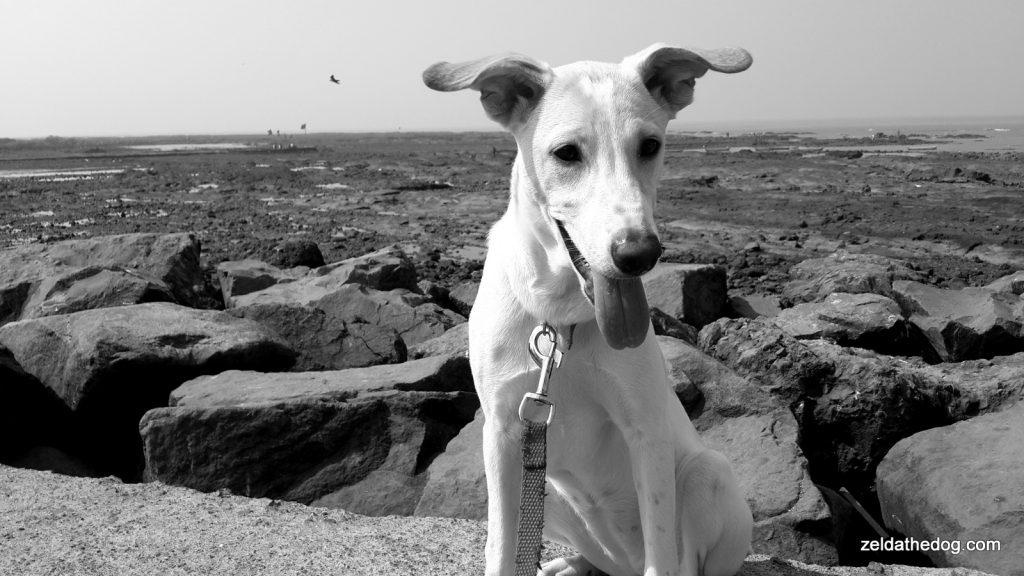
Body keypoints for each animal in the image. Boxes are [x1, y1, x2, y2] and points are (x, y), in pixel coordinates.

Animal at [421, 42, 753, 569]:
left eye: (650, 146)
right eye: (566, 153)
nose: (639, 254)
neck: (561, 323)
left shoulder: (646, 433)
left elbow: (662, 550)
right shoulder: (503, 432)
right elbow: (501, 546)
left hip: (709, 473)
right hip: (549, 490)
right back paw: (570, 564)